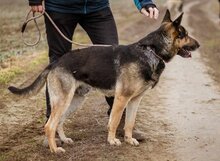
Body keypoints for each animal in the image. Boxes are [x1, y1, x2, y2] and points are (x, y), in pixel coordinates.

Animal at [8, 10, 199, 153]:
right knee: (49, 125)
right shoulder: (121, 98)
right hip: (63, 100)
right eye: (185, 35)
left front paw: (129, 139)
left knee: (59, 122)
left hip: (75, 101)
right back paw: (55, 149)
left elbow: (129, 123)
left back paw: (64, 140)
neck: (151, 51)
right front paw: (112, 141)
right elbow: (114, 121)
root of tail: (56, 62)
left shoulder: (135, 101)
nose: (199, 45)